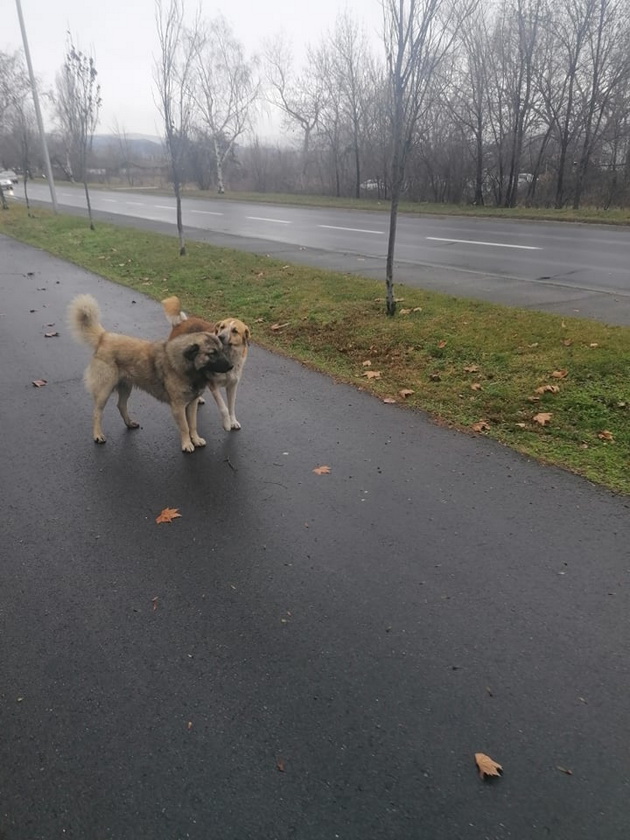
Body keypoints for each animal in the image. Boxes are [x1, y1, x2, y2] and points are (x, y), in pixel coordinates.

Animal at [68, 296, 235, 452]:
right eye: (212, 353)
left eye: (222, 350)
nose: (231, 366)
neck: (188, 366)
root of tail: (105, 336)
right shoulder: (178, 407)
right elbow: (185, 427)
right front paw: (187, 443)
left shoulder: (192, 404)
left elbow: (193, 424)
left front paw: (196, 439)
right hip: (104, 390)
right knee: (97, 413)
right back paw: (98, 435)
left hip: (126, 387)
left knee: (121, 405)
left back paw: (129, 423)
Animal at [162, 296, 251, 430]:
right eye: (222, 327)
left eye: (235, 331)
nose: (220, 336)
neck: (228, 355)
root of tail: (181, 322)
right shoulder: (213, 384)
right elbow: (224, 407)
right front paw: (227, 424)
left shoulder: (232, 385)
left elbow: (231, 406)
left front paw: (233, 421)